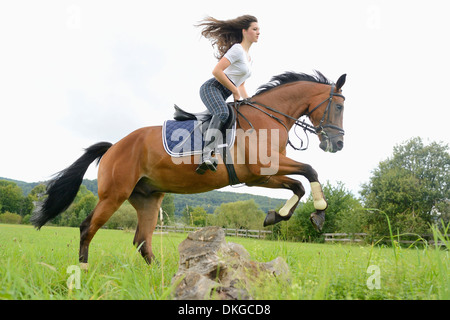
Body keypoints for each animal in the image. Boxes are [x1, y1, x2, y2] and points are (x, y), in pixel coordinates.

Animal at [31, 71, 346, 266]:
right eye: (340, 107)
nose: (338, 143)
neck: (267, 118)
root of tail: (113, 146)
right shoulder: (260, 170)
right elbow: (309, 172)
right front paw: (317, 214)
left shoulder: (260, 176)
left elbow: (299, 184)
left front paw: (277, 216)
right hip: (113, 195)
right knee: (88, 228)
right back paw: (83, 271)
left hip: (148, 198)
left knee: (142, 241)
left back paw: (161, 275)